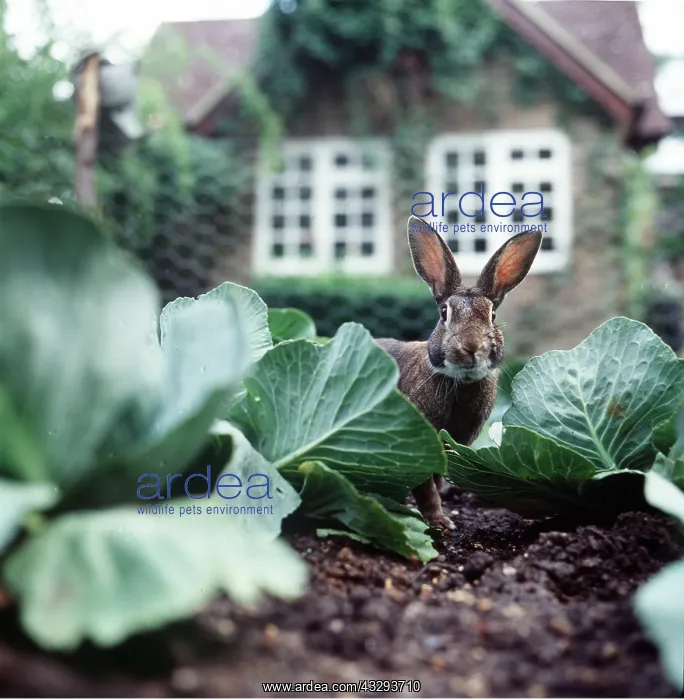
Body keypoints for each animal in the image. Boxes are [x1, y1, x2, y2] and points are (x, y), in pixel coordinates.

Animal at [375, 215, 542, 530]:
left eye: (492, 315)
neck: (460, 382)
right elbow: (426, 487)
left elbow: (438, 480)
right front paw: (439, 522)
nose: (471, 346)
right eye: (444, 313)